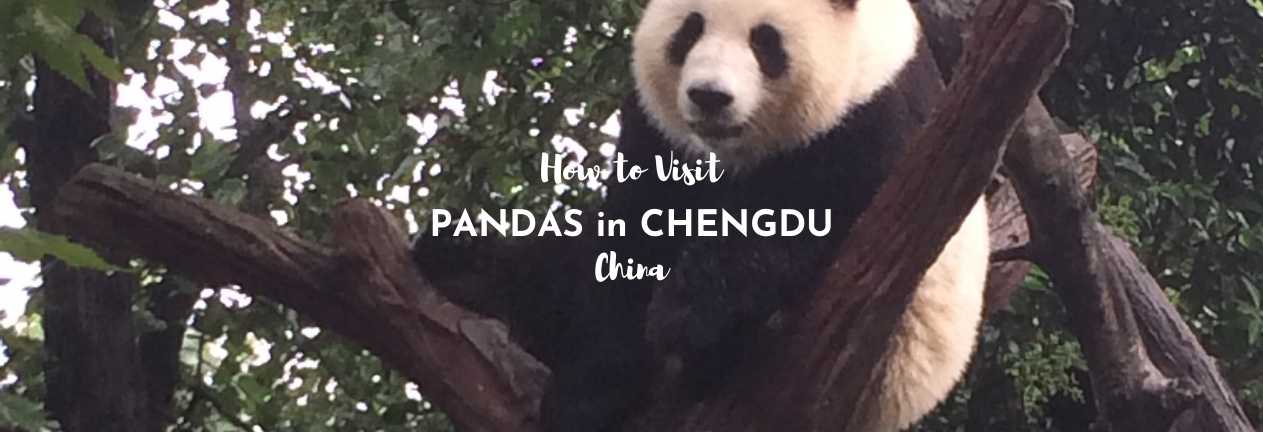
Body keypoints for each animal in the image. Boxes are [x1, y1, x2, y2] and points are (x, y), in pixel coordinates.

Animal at [538, 0, 992, 430]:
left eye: (765, 41)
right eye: (690, 29)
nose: (709, 96)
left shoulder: (872, 121)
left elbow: (799, 225)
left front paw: (685, 312)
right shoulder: (658, 135)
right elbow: (629, 249)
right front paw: (585, 399)